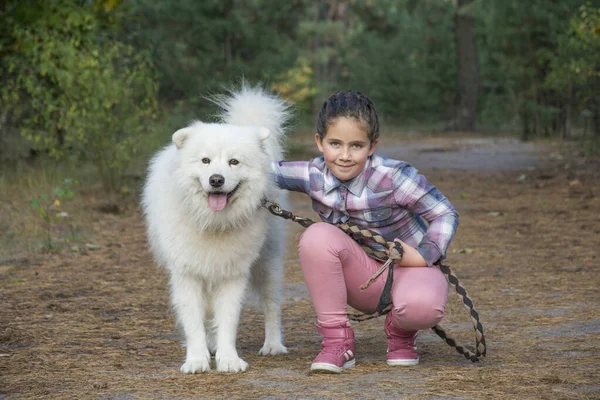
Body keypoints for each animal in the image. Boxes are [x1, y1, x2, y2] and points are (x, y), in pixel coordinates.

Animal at [141, 84, 290, 372]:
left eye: (234, 162)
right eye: (205, 161)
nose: (216, 180)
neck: (212, 222)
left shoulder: (233, 275)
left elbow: (228, 321)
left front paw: (229, 360)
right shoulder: (188, 274)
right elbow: (194, 323)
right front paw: (197, 359)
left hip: (266, 264)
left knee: (271, 304)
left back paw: (273, 345)